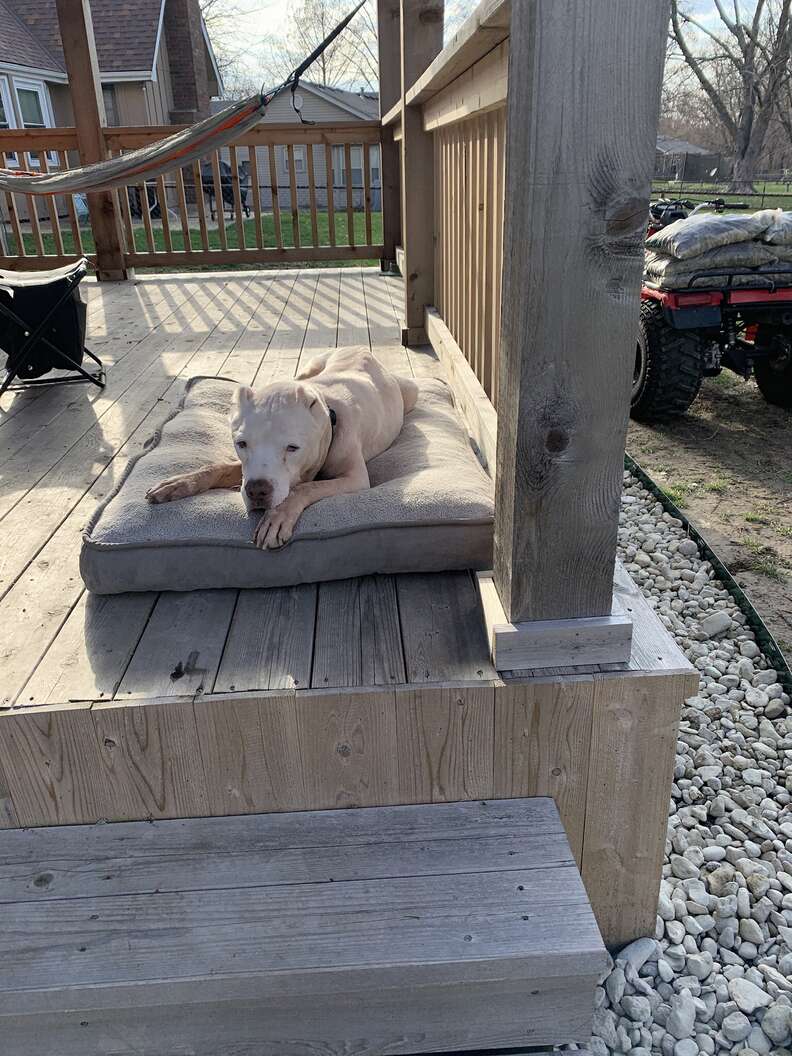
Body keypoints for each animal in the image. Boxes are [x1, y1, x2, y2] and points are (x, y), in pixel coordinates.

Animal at [147, 348, 422, 549]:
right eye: (241, 444)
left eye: (292, 448)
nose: (257, 491)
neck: (328, 415)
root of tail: (362, 349)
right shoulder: (246, 469)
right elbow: (219, 467)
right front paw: (178, 482)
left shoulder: (355, 479)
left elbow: (305, 489)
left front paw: (276, 518)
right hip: (310, 368)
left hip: (412, 392)